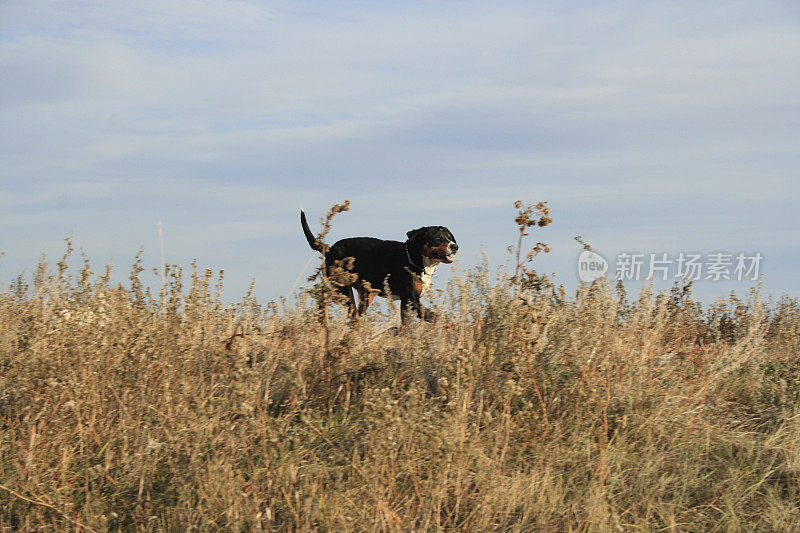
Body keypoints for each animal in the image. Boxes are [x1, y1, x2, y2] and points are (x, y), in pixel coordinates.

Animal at [304, 207, 460, 324]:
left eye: (450, 237)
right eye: (438, 238)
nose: (455, 246)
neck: (416, 259)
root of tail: (329, 249)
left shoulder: (406, 304)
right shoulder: (412, 301)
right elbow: (438, 317)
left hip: (365, 295)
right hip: (341, 291)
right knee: (348, 313)